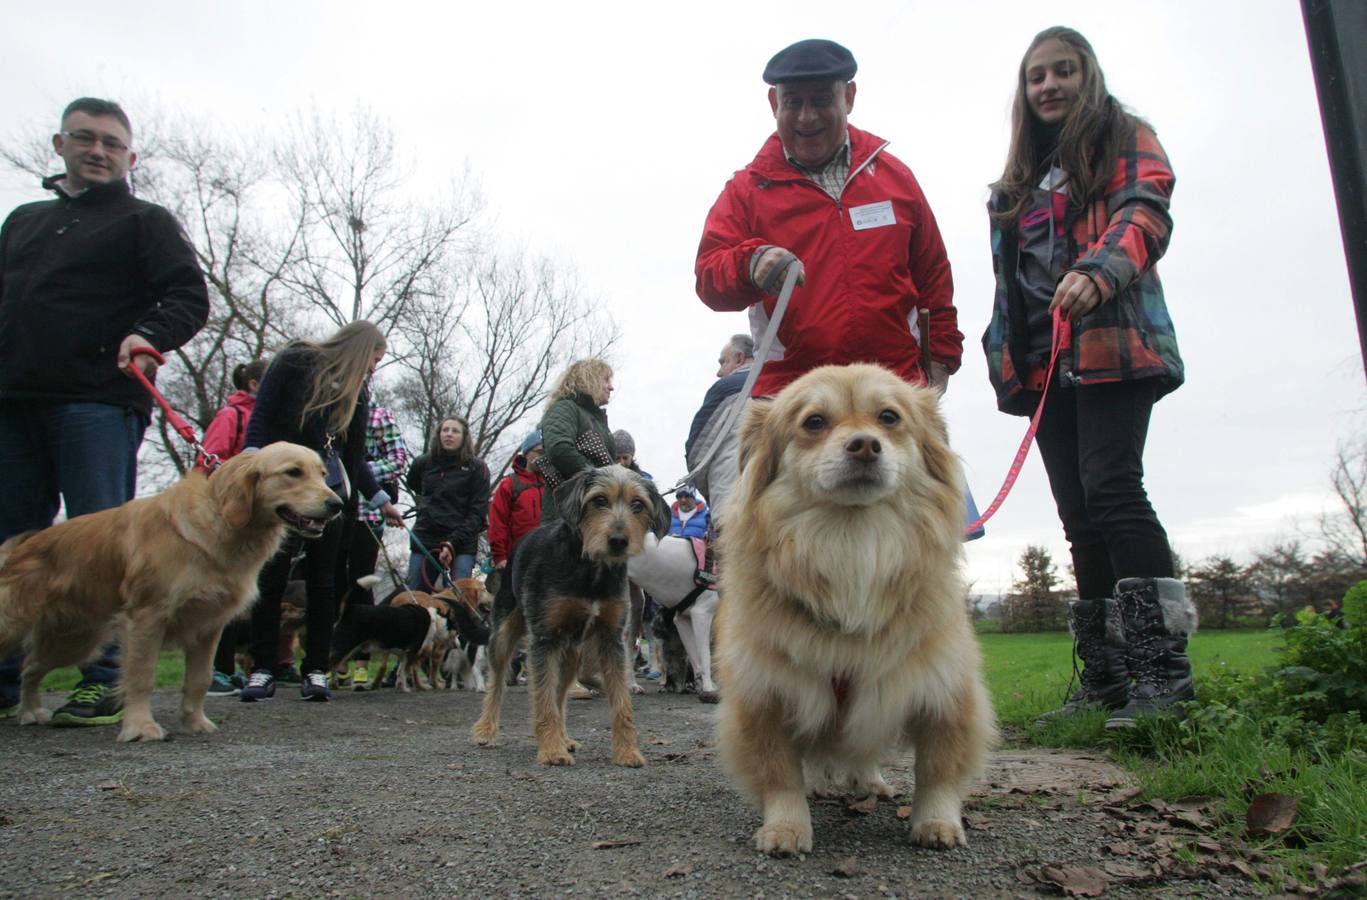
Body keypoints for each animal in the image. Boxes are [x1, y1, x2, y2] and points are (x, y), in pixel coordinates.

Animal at [0, 437, 340, 738]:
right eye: (293, 472)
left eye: (323, 473)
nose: (336, 504)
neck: (220, 524)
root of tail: (23, 547)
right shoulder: (147, 616)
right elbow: (141, 677)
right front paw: (140, 728)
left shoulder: (209, 624)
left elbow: (199, 679)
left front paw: (195, 722)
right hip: (20, 627)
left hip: (75, 639)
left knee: (29, 668)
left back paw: (30, 711)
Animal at [716, 363, 995, 853]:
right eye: (813, 422)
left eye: (889, 417)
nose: (865, 444)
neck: (851, 541)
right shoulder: (765, 695)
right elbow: (780, 773)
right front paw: (787, 827)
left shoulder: (943, 690)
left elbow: (937, 769)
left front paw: (936, 822)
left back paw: (871, 782)